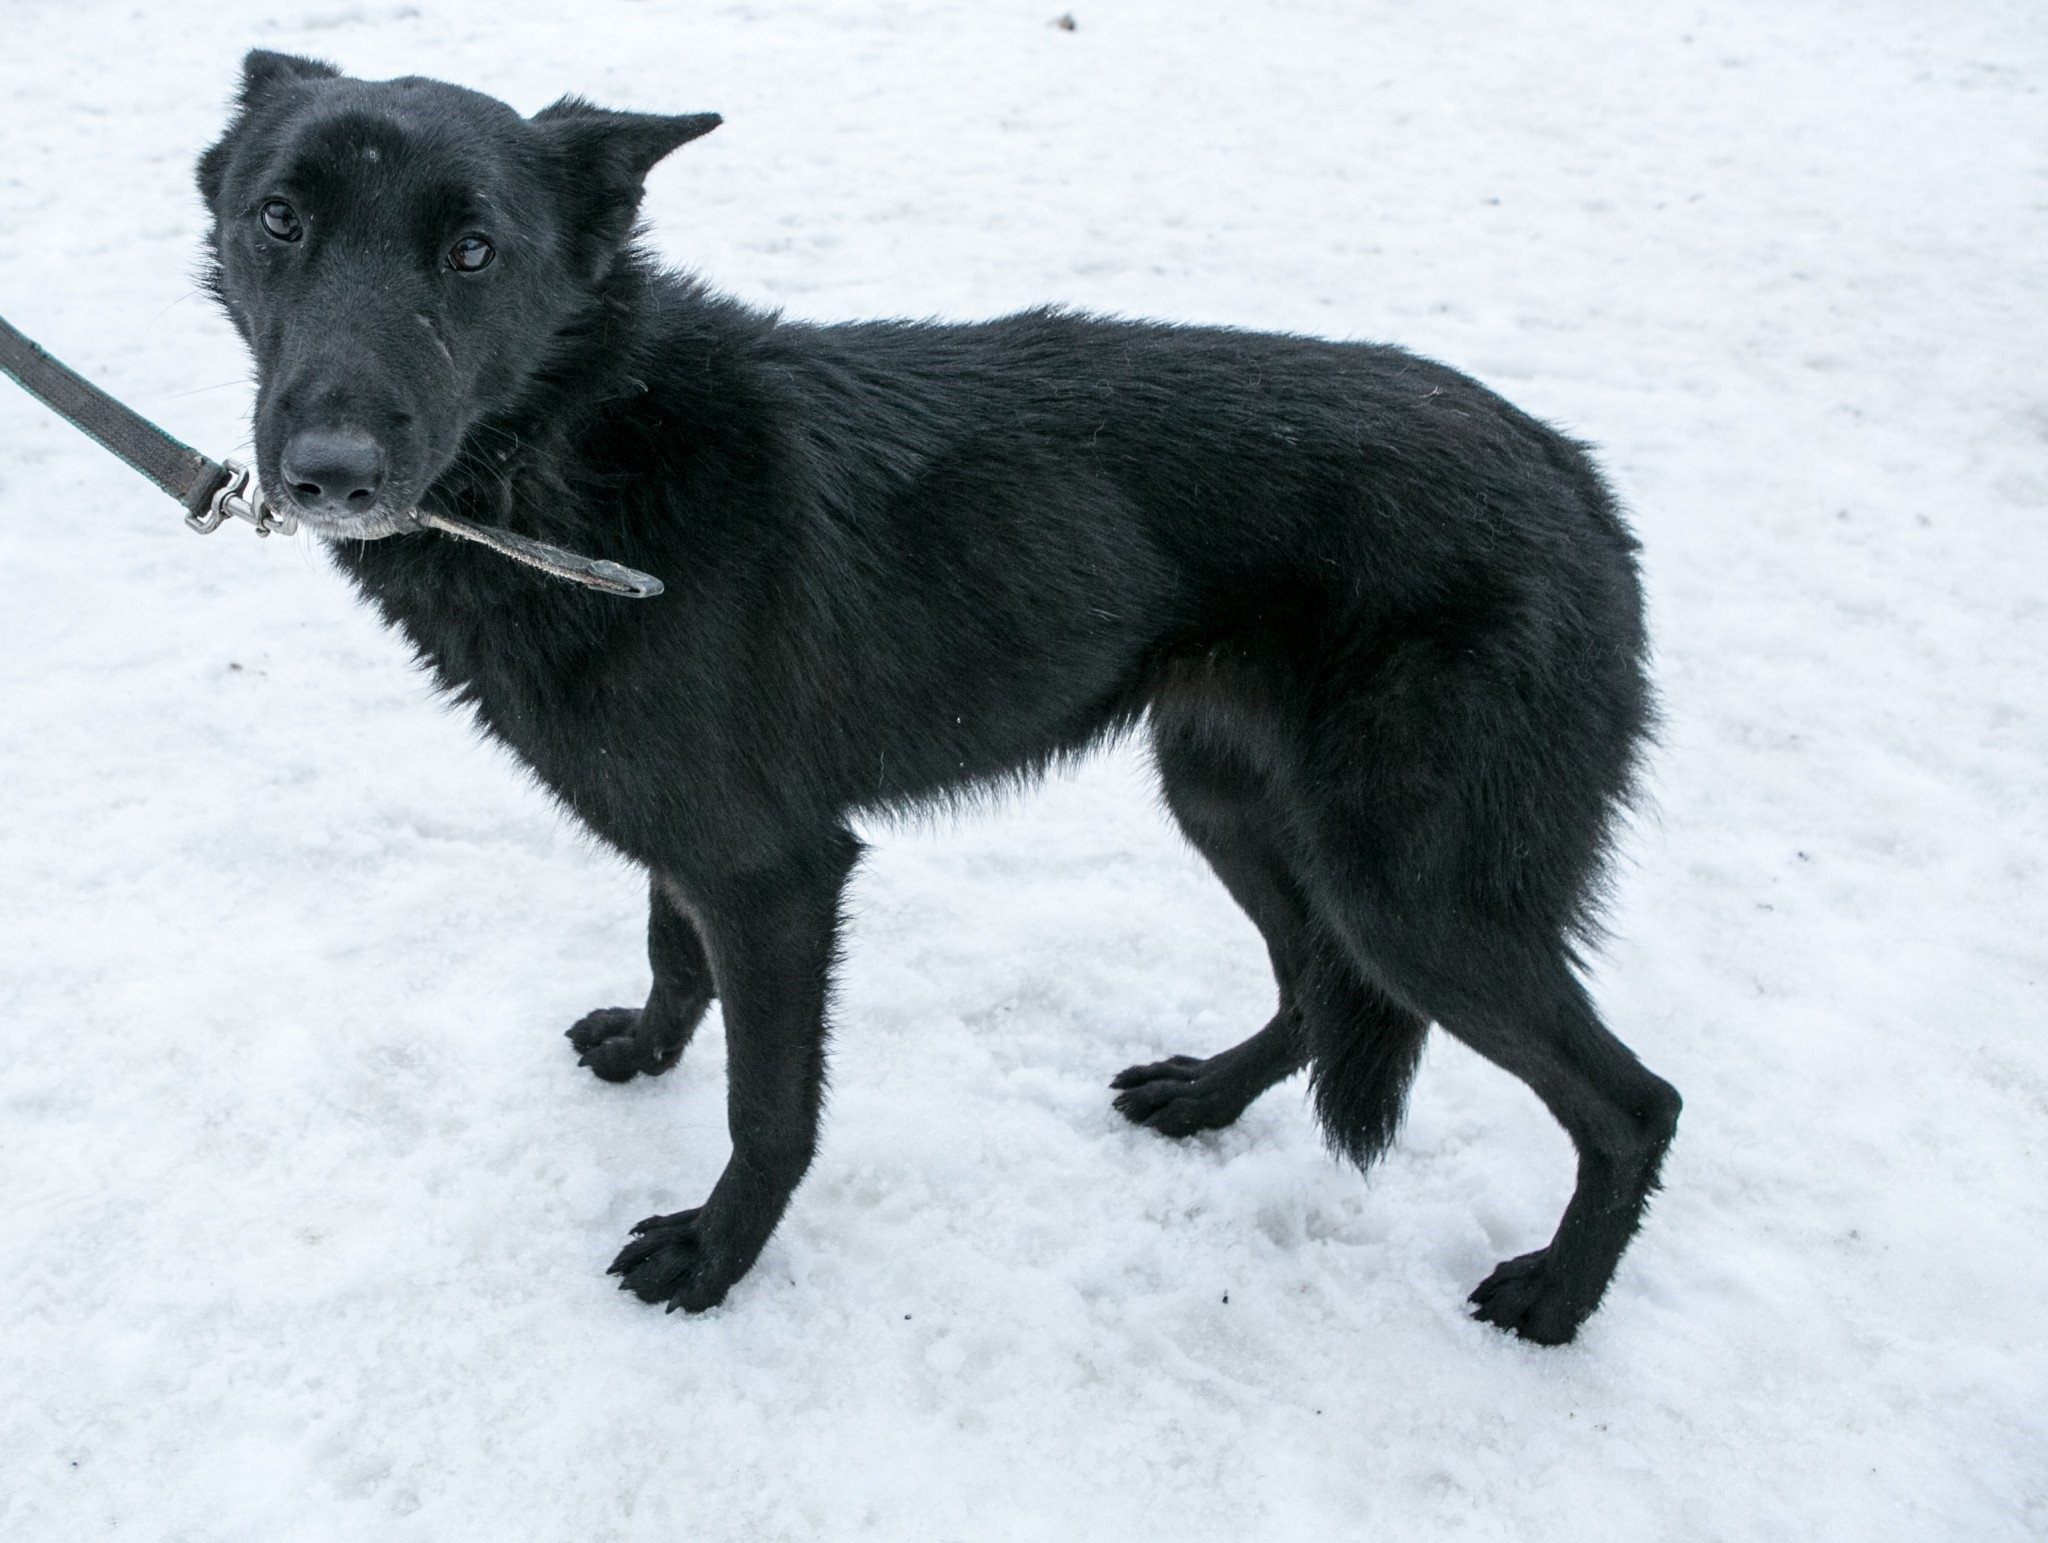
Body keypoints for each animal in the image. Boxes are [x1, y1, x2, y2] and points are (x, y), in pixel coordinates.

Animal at [203, 54, 1679, 1344]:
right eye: (281, 216)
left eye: (472, 251)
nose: (329, 469)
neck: (582, 451)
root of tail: (1576, 478)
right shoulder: (693, 838)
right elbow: (673, 952)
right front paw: (645, 1047)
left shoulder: (777, 875)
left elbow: (767, 1108)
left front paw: (715, 1257)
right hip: (1232, 804)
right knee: (1316, 985)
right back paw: (1204, 1098)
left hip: (1409, 892)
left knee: (1633, 1101)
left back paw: (1555, 1302)